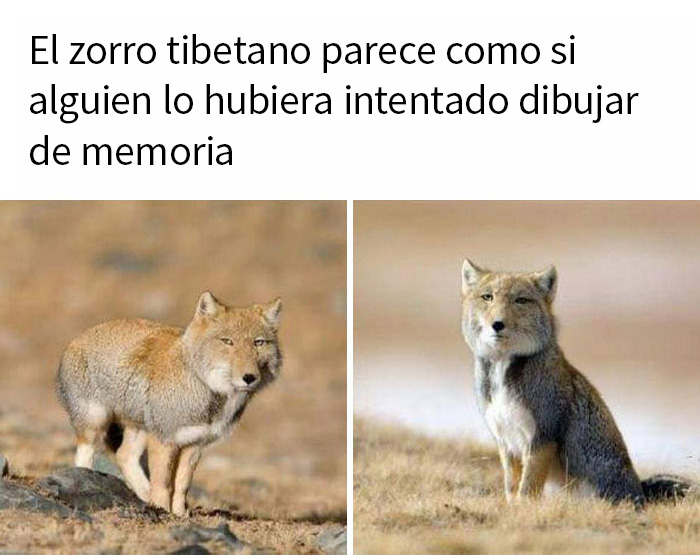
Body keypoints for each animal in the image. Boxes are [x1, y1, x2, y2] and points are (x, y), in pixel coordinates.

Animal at [56, 291, 282, 517]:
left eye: (258, 342)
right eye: (227, 341)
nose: (249, 378)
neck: (204, 389)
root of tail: (77, 339)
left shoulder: (194, 443)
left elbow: (182, 484)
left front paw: (180, 514)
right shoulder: (163, 439)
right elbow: (163, 483)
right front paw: (162, 510)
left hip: (139, 429)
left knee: (124, 456)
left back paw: (144, 494)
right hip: (94, 425)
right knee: (85, 457)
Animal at [460, 259, 690, 506]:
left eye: (520, 300)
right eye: (488, 297)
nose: (497, 324)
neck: (503, 371)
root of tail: (641, 494)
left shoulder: (542, 437)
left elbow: (527, 488)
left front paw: (522, 508)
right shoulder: (506, 442)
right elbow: (512, 488)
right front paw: (512, 508)